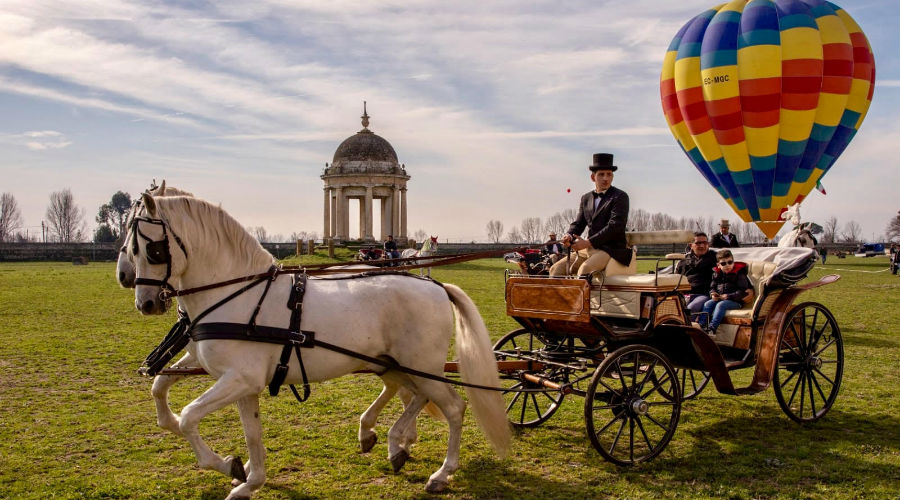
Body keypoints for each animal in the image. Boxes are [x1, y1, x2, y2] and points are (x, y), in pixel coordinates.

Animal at [126, 193, 510, 498]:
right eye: (129, 250)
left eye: (152, 249)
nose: (146, 303)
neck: (239, 294)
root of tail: (436, 286)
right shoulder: (241, 384)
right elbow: (242, 430)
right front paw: (249, 479)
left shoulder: (239, 379)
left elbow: (190, 416)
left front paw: (226, 464)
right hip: (396, 364)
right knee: (412, 395)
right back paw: (389, 441)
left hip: (422, 367)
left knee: (454, 408)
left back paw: (440, 472)